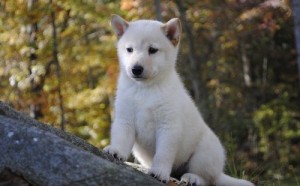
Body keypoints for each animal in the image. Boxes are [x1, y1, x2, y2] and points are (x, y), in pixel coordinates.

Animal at [104, 14, 254, 186]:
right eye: (129, 49)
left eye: (152, 50)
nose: (136, 69)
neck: (145, 89)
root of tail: (219, 173)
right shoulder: (125, 118)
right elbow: (121, 139)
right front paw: (116, 151)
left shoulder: (169, 126)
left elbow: (163, 154)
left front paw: (159, 172)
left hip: (205, 153)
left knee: (207, 178)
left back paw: (192, 178)